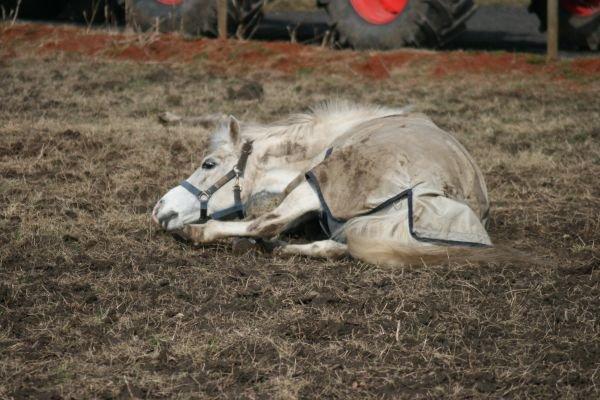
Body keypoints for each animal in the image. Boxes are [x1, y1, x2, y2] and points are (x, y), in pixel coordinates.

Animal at [151, 101, 492, 266]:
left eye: (208, 164)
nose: (159, 209)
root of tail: (424, 197)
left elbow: (264, 221)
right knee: (333, 248)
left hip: (313, 188)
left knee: (265, 224)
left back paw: (199, 232)